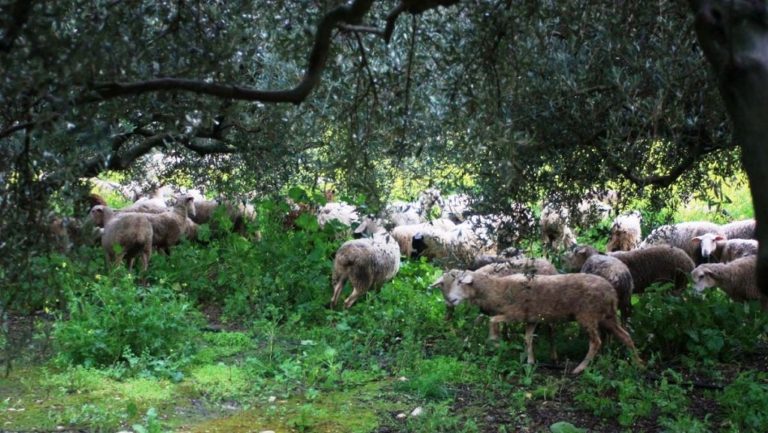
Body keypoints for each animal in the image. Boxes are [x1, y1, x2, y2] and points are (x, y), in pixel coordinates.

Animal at [432, 268, 640, 372]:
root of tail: (611, 291)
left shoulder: (515, 313)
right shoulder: (531, 319)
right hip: (608, 317)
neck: (497, 290)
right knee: (626, 336)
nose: (450, 300)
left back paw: (580, 368)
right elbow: (528, 338)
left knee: (596, 342)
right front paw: (530, 361)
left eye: (460, 282)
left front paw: (495, 340)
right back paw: (639, 363)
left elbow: (493, 321)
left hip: (588, 315)